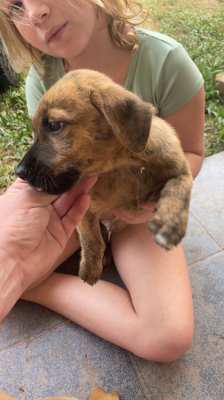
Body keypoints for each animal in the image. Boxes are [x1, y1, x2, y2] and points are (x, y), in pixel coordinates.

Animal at [16, 70, 192, 286]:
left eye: (54, 125)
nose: (19, 171)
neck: (121, 166)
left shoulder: (182, 170)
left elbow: (178, 188)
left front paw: (170, 224)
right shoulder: (86, 207)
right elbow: (91, 238)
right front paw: (90, 268)